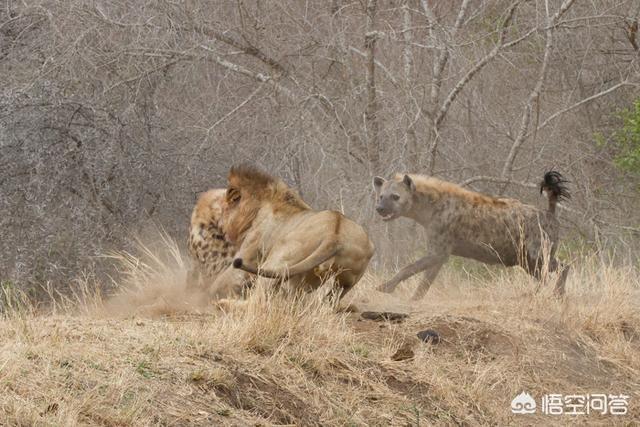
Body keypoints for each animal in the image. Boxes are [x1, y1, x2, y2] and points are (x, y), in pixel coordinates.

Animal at [221, 164, 376, 300]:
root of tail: (334, 235)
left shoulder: (249, 251)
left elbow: (223, 280)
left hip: (277, 261)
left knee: (257, 299)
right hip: (344, 282)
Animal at [372, 171, 572, 300]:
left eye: (395, 197)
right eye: (381, 196)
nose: (379, 208)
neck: (430, 209)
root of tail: (549, 213)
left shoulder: (440, 249)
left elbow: (409, 268)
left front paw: (384, 287)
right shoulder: (440, 252)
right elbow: (426, 280)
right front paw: (413, 298)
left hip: (533, 252)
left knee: (554, 269)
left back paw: (537, 294)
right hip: (524, 258)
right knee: (556, 269)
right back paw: (556, 295)